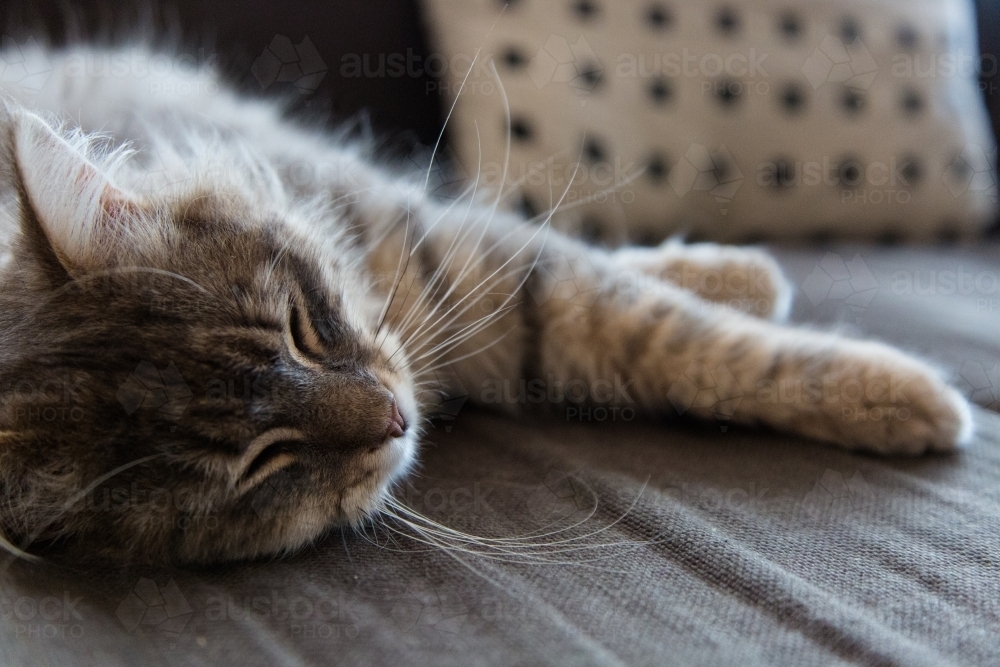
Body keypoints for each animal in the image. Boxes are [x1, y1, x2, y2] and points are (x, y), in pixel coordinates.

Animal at [0, 44, 972, 564]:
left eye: (301, 330)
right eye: (266, 462)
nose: (394, 419)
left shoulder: (477, 261)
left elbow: (685, 328)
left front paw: (884, 383)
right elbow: (684, 340)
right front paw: (909, 398)